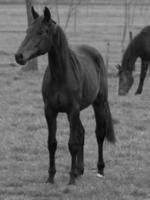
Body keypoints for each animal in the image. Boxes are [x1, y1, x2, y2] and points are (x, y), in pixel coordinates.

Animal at [14, 6, 115, 184]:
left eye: (41, 32)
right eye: (27, 31)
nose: (19, 56)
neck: (61, 76)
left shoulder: (72, 110)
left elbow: (72, 144)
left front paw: (71, 178)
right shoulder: (50, 111)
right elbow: (52, 143)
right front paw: (51, 177)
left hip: (99, 103)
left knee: (99, 133)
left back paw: (99, 170)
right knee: (81, 132)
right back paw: (80, 170)